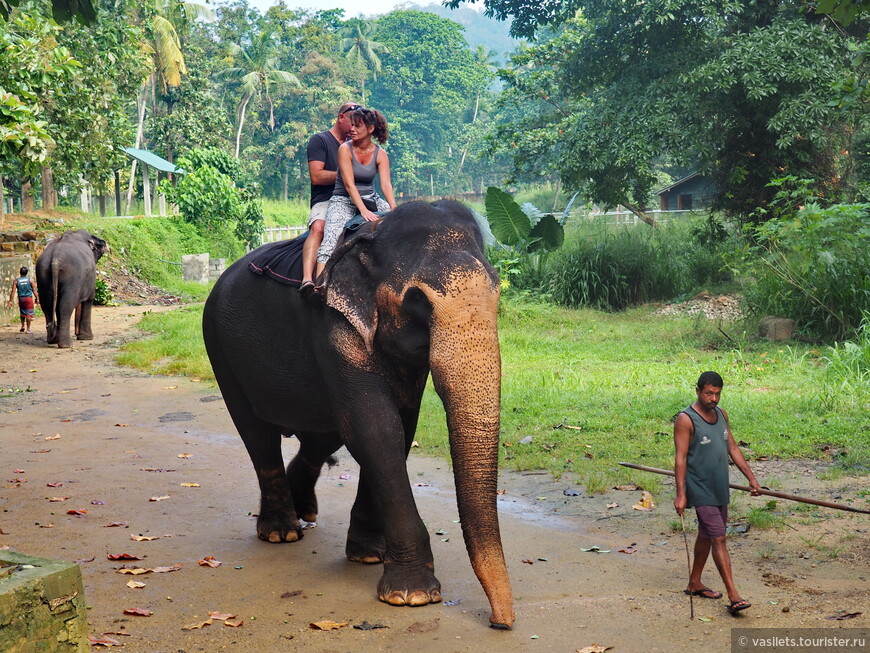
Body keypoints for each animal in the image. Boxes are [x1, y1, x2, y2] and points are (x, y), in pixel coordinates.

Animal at [203, 199, 516, 628]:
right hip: (220, 350)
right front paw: (412, 595)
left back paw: (303, 509)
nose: (501, 622)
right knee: (257, 434)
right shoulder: (333, 326)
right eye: (418, 299)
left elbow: (398, 427)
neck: (375, 233)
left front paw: (369, 555)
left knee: (322, 436)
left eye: (498, 289)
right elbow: (376, 429)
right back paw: (282, 531)